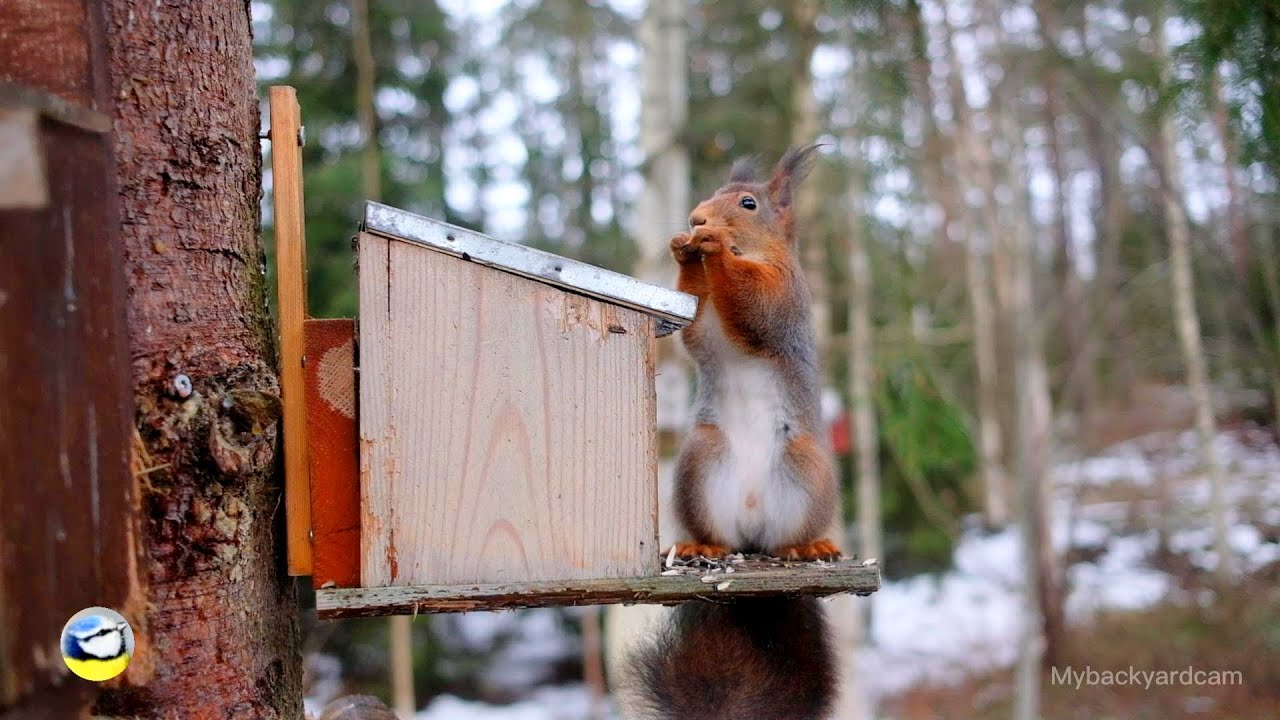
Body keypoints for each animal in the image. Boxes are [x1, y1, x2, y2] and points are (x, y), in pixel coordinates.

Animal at [623, 145, 840, 720]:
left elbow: (753, 304)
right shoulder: (703, 325)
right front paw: (683, 251)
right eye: (709, 196)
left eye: (747, 203)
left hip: (803, 466)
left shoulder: (785, 294)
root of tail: (753, 532)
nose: (697, 219)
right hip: (702, 460)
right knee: (720, 534)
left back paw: (808, 548)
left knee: (790, 536)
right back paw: (705, 547)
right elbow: (696, 323)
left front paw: (714, 249)